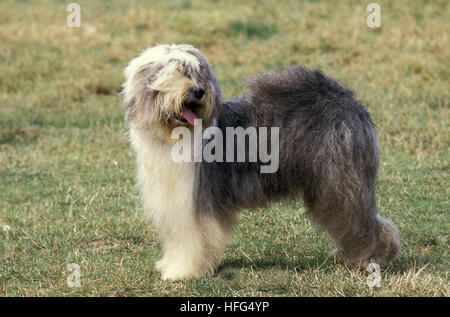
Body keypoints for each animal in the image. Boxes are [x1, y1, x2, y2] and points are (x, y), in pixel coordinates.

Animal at [121, 42, 400, 278]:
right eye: (179, 73)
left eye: (198, 74)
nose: (199, 91)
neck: (174, 136)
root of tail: (348, 100)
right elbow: (178, 238)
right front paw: (170, 264)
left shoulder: (194, 201)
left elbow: (191, 240)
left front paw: (183, 271)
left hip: (340, 182)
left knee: (362, 220)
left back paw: (372, 259)